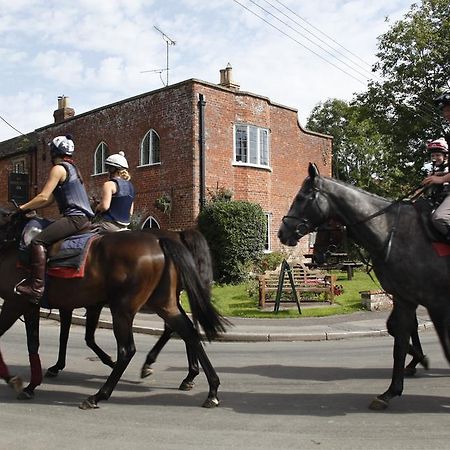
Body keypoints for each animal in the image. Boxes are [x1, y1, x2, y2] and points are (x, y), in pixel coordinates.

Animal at [0, 209, 225, 410]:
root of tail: (163, 240)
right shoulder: (37, 305)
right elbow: (44, 341)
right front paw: (33, 383)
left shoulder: (17, 303)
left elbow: (70, 336)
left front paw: (24, 378)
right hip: (162, 302)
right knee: (187, 330)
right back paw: (206, 387)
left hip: (124, 309)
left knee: (129, 349)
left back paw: (100, 394)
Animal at [278, 163, 450, 410]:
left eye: (302, 197)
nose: (282, 233)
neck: (392, 232)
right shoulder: (404, 299)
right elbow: (399, 339)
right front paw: (393, 388)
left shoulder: (435, 303)